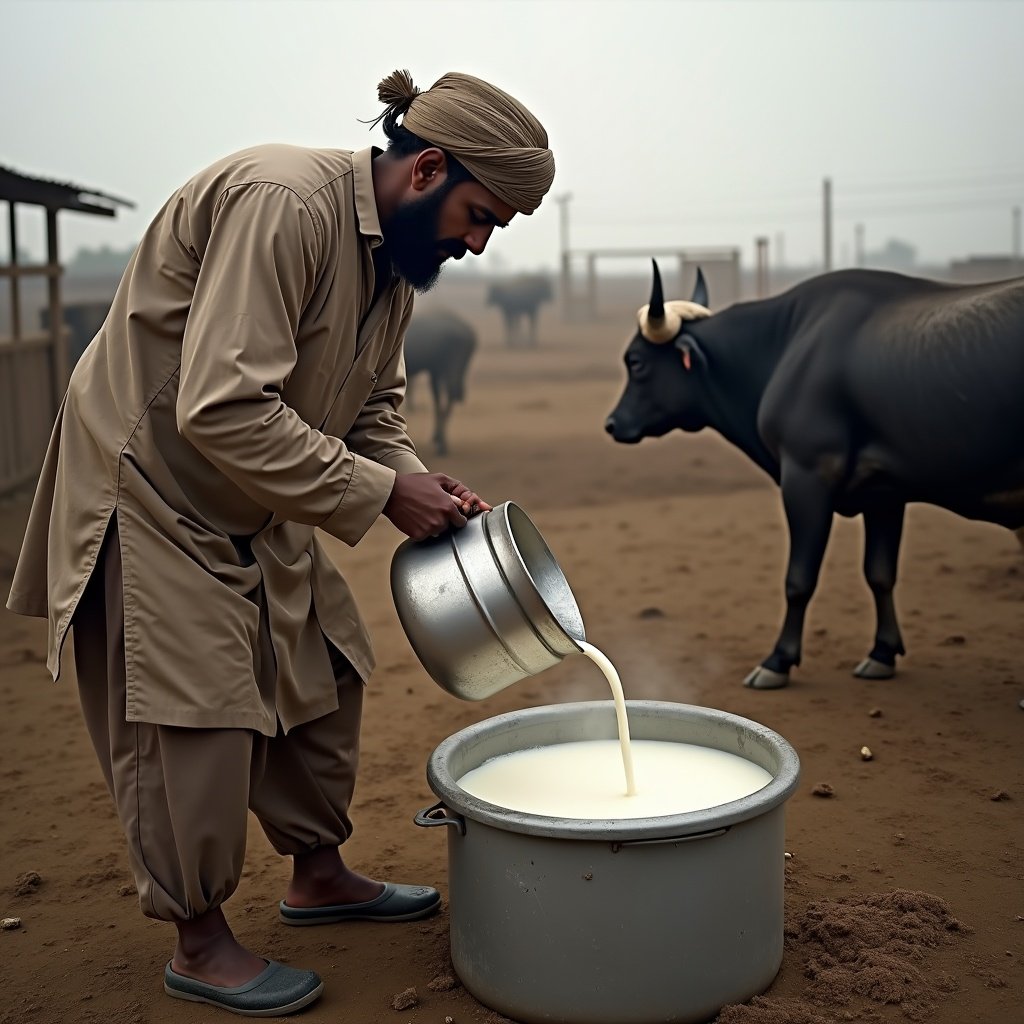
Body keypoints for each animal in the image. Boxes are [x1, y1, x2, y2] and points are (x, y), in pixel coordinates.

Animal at [606, 264, 1024, 692]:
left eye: (636, 362)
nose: (612, 424)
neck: (786, 344)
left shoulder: (806, 479)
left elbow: (799, 579)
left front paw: (777, 660)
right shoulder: (885, 494)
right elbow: (880, 573)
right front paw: (882, 653)